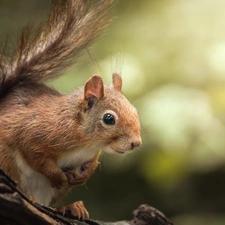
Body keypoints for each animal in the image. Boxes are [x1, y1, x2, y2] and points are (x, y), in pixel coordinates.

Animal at [0, 0, 141, 220]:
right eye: (109, 119)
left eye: (134, 110)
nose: (137, 143)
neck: (86, 142)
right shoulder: (33, 131)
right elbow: (36, 156)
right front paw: (59, 177)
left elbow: (92, 163)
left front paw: (84, 174)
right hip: (5, 160)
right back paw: (30, 198)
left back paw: (69, 207)